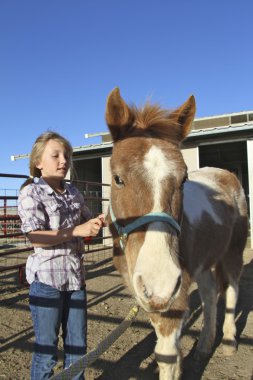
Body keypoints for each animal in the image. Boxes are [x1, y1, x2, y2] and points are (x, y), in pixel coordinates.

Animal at [104, 88, 247, 380]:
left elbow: (166, 355)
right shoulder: (147, 293)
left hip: (233, 251)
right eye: (117, 178)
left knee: (231, 290)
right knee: (209, 293)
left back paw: (228, 341)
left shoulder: (174, 295)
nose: (160, 282)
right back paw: (204, 346)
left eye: (183, 180)